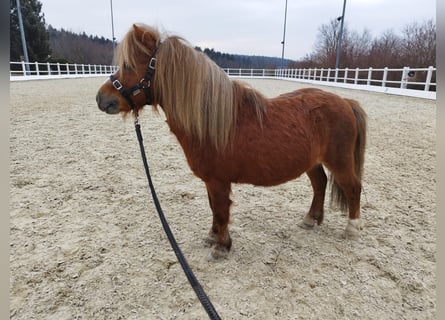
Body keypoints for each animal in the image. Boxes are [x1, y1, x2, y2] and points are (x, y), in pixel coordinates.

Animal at [97, 25, 368, 260]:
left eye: (129, 65)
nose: (101, 99)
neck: (210, 121)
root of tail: (345, 101)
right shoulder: (210, 181)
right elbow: (213, 209)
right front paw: (212, 236)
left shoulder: (218, 181)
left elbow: (220, 210)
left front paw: (221, 246)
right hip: (312, 162)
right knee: (320, 184)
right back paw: (311, 219)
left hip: (340, 162)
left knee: (353, 187)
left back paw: (352, 229)